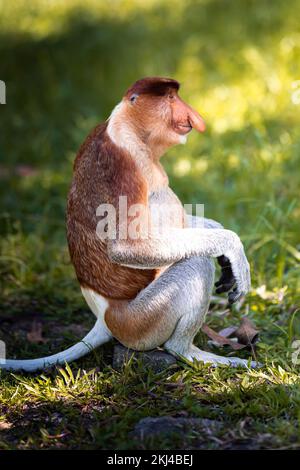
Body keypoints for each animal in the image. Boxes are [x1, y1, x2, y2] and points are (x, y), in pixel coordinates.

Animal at [0, 77, 255, 370]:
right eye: (170, 98)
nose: (193, 116)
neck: (128, 128)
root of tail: (105, 318)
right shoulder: (124, 168)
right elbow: (127, 247)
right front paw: (232, 247)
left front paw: (223, 251)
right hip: (140, 320)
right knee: (196, 263)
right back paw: (188, 352)